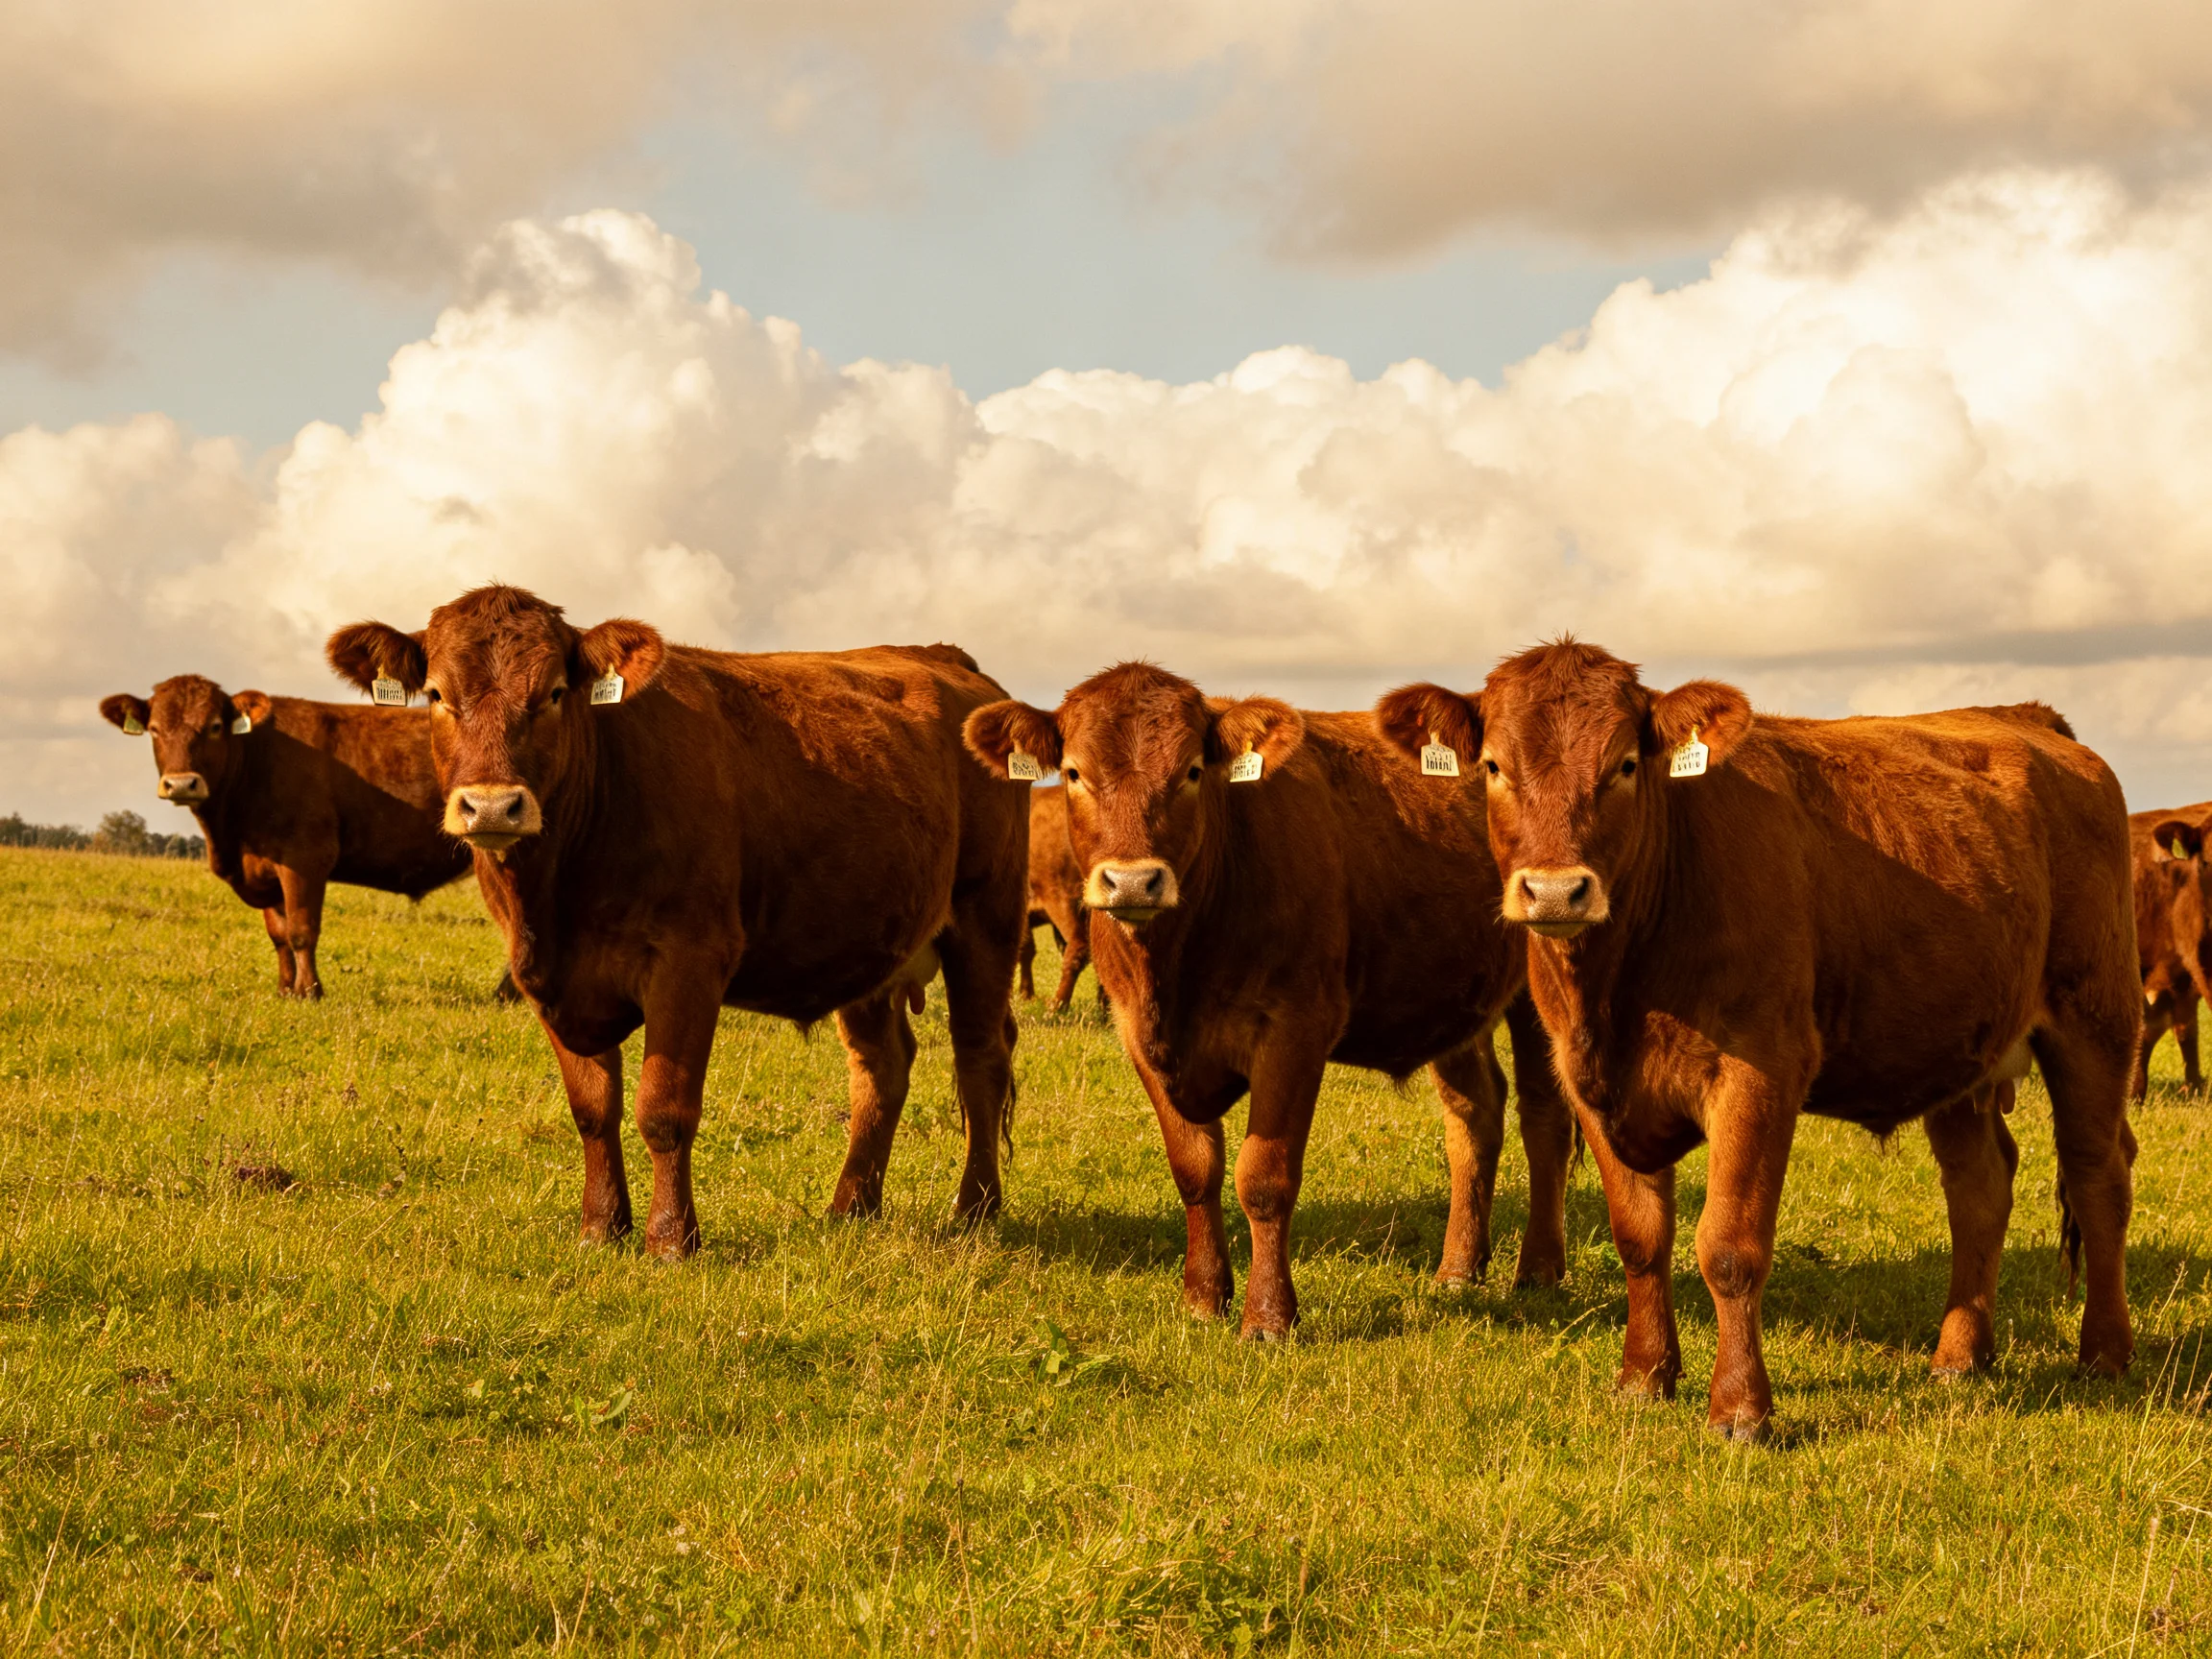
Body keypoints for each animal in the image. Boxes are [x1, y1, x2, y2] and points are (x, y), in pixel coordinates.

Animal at [98, 675, 482, 1000]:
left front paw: (310, 991)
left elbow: (301, 930)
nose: (181, 784)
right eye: (154, 730)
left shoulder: (305, 859)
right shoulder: (266, 869)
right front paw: (285, 989)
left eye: (215, 726)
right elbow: (279, 935)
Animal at [326, 585, 1029, 1258]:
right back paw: (851, 1207)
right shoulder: (549, 982)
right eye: (438, 695)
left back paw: (975, 1210)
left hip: (986, 921)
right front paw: (601, 1228)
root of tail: (945, 657)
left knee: (980, 1059)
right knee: (882, 1069)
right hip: (869, 943)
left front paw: (671, 1239)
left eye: (554, 692)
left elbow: (663, 1109)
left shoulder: (690, 960)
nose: (493, 806)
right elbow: (592, 1109)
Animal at [1378, 641, 2140, 1438]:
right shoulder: (1589, 1081)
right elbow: (1640, 1238)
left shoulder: (1759, 1071)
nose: (1556, 891)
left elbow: (1729, 1247)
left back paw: (2104, 1354)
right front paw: (1644, 1377)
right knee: (1980, 1187)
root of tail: (2027, 719)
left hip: (2096, 1020)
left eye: (1625, 764)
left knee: (2099, 1177)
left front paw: (1742, 1409)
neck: (1622, 985)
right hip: (1960, 1046)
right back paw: (1960, 1358)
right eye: (1494, 766)